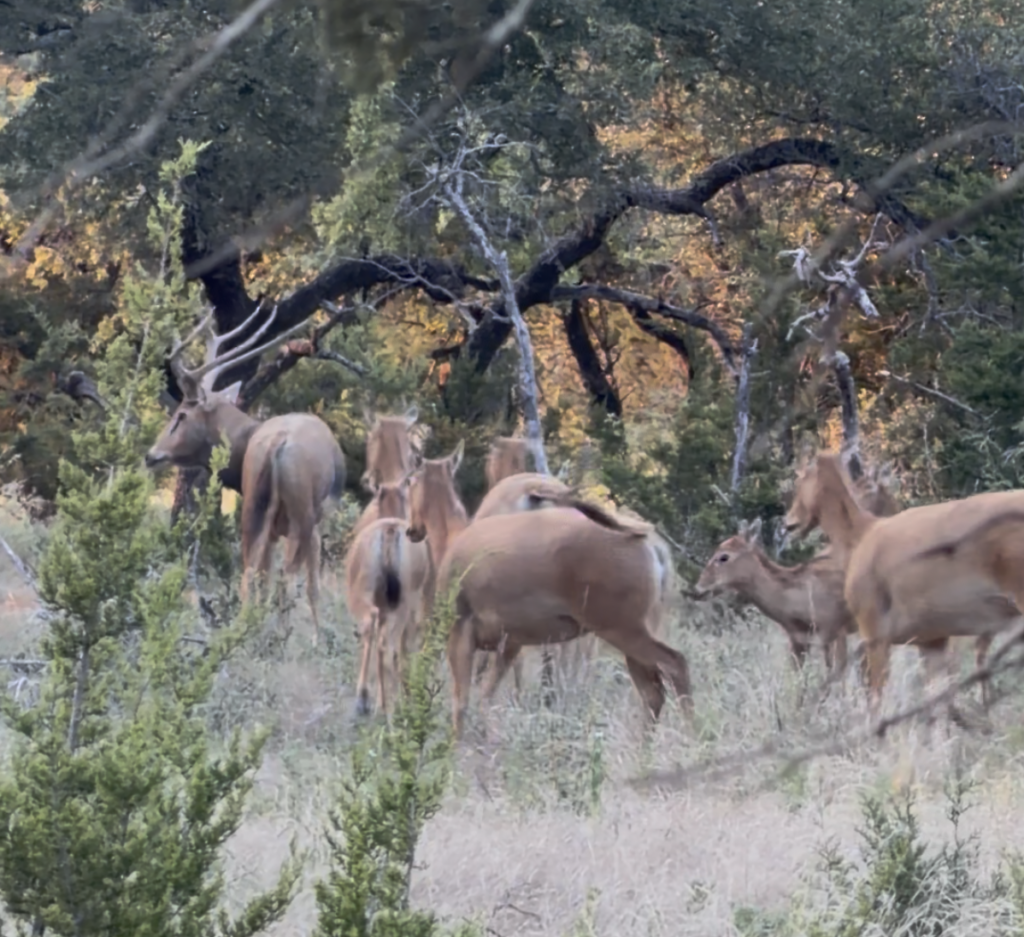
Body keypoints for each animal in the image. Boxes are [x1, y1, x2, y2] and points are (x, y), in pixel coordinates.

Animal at [144, 304, 346, 647]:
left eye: (182, 415)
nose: (151, 454)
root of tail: (276, 444)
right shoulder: (317, 524)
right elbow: (313, 585)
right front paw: (317, 640)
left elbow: (265, 576)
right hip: (302, 514)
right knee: (285, 579)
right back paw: (281, 640)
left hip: (256, 508)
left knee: (250, 574)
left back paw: (245, 634)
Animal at [345, 477, 434, 717]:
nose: (418, 531)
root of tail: (389, 531)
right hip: (403, 603)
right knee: (390, 645)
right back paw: (386, 704)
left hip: (364, 593)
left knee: (372, 628)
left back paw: (366, 699)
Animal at [404, 451, 692, 738]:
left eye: (411, 481)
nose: (412, 530)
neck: (452, 541)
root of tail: (652, 548)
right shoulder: (510, 641)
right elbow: (486, 696)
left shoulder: (461, 627)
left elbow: (462, 702)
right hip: (634, 629)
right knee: (652, 691)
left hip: (620, 626)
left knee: (674, 664)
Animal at [696, 518, 852, 693]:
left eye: (724, 556)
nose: (699, 588)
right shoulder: (797, 638)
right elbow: (799, 681)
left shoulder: (837, 629)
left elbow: (837, 675)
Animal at [783, 453, 1023, 719]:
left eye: (800, 479)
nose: (788, 522)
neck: (860, 535)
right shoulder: (932, 639)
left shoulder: (874, 632)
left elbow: (876, 701)